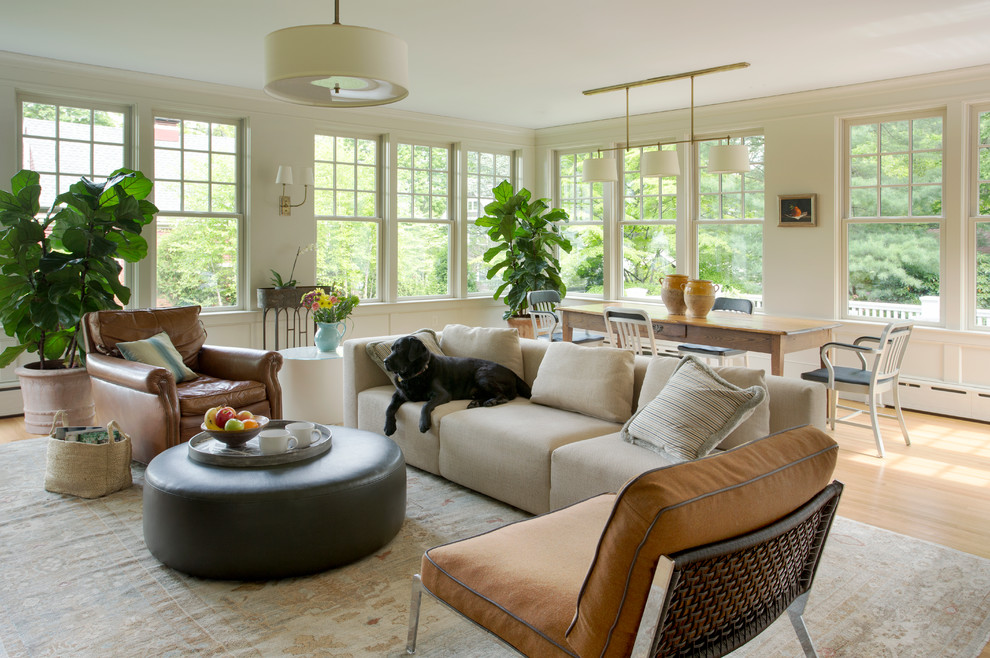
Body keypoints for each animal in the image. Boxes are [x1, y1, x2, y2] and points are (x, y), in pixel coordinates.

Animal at [382, 334, 536, 436]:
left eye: (399, 349)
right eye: (391, 349)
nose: (385, 361)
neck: (417, 374)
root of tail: (513, 373)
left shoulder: (442, 394)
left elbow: (425, 405)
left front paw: (423, 423)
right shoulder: (399, 394)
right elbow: (389, 408)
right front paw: (388, 426)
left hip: (482, 374)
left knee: (504, 396)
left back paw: (491, 402)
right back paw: (476, 403)